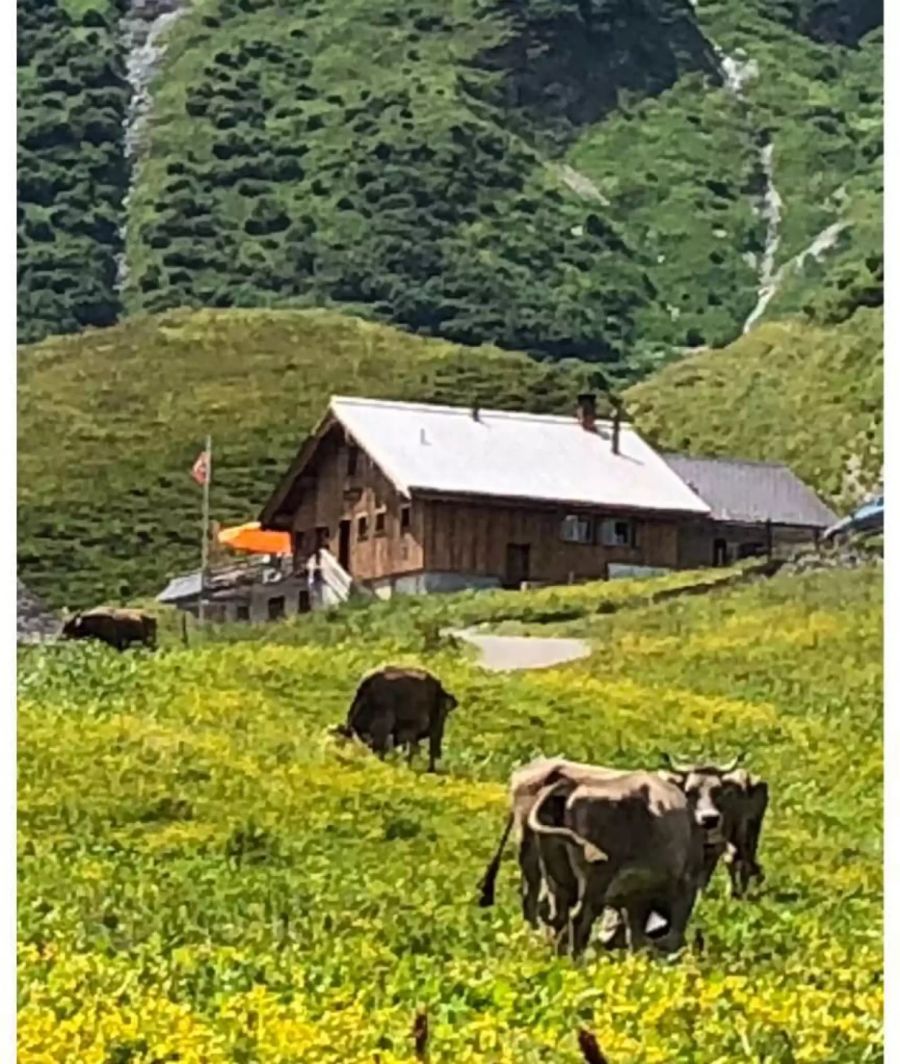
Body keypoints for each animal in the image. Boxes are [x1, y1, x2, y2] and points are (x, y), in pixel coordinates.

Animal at [659, 749, 770, 898]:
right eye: (689, 792)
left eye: (718, 791)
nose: (710, 819)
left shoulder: (715, 845)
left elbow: (704, 875)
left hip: (746, 831)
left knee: (740, 860)